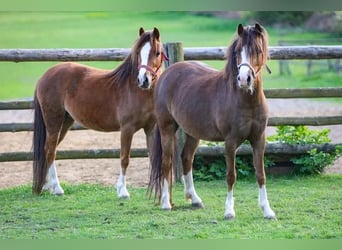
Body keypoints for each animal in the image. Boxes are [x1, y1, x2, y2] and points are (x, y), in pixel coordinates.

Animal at [31, 27, 168, 198]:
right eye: (138, 53)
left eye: (157, 52)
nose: (143, 80)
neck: (136, 90)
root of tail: (44, 76)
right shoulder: (127, 129)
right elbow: (125, 158)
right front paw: (122, 191)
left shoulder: (150, 129)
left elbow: (154, 158)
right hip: (53, 121)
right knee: (50, 151)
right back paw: (57, 188)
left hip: (65, 122)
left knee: (49, 149)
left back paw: (47, 186)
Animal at [148, 23, 276, 219]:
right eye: (238, 51)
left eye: (258, 50)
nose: (244, 79)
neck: (245, 100)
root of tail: (166, 74)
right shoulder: (230, 142)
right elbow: (231, 175)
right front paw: (229, 211)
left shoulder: (258, 139)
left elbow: (261, 174)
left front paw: (267, 210)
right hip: (166, 128)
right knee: (167, 161)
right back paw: (165, 203)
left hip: (193, 133)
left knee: (186, 158)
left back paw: (194, 199)